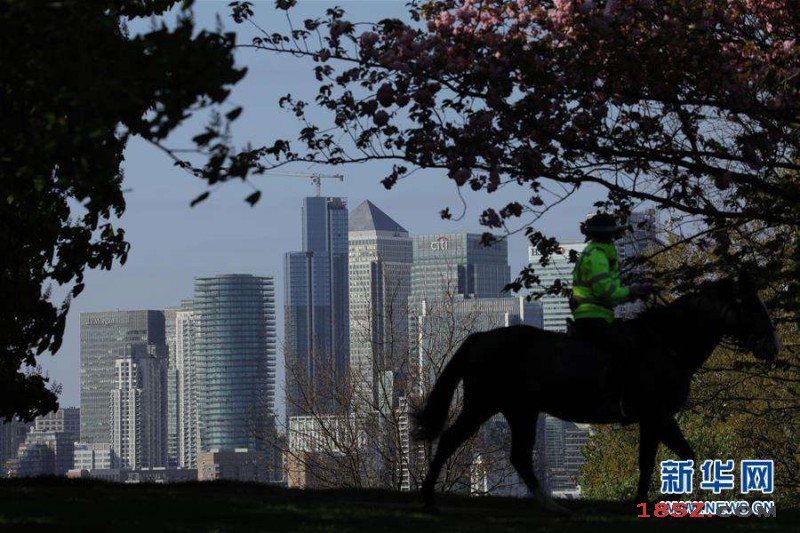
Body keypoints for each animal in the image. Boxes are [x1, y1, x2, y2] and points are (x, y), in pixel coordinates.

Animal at [413, 272, 780, 512]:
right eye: (751, 305)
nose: (772, 347)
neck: (668, 344)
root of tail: (480, 338)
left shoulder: (653, 420)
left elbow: (659, 460)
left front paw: (644, 502)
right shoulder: (657, 415)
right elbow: (680, 458)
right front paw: (662, 500)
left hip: (520, 411)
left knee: (518, 456)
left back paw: (553, 507)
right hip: (483, 404)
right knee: (451, 440)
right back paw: (429, 498)